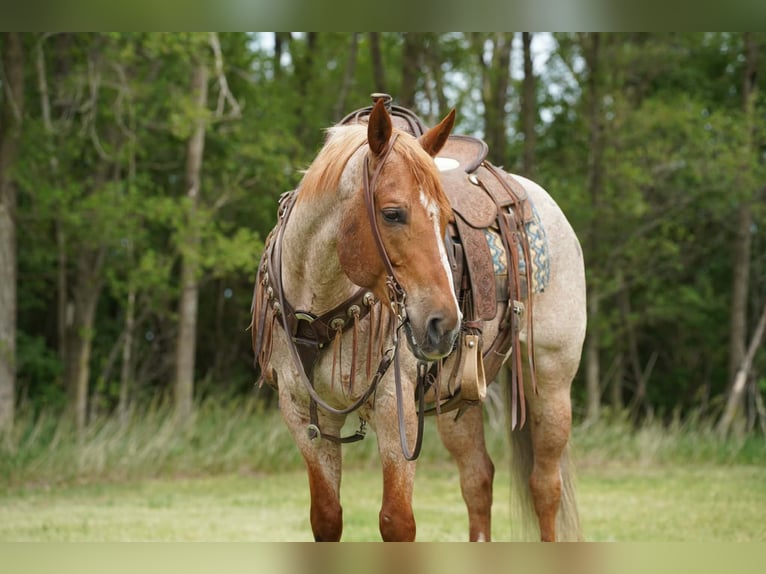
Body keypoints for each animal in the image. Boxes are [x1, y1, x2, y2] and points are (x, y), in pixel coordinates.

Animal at [252, 96, 587, 541]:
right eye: (393, 213)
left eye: (447, 217)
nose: (444, 323)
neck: (318, 306)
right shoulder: (301, 411)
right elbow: (326, 517)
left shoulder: (395, 409)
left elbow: (397, 521)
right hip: (458, 394)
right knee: (478, 479)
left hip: (550, 381)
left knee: (544, 487)